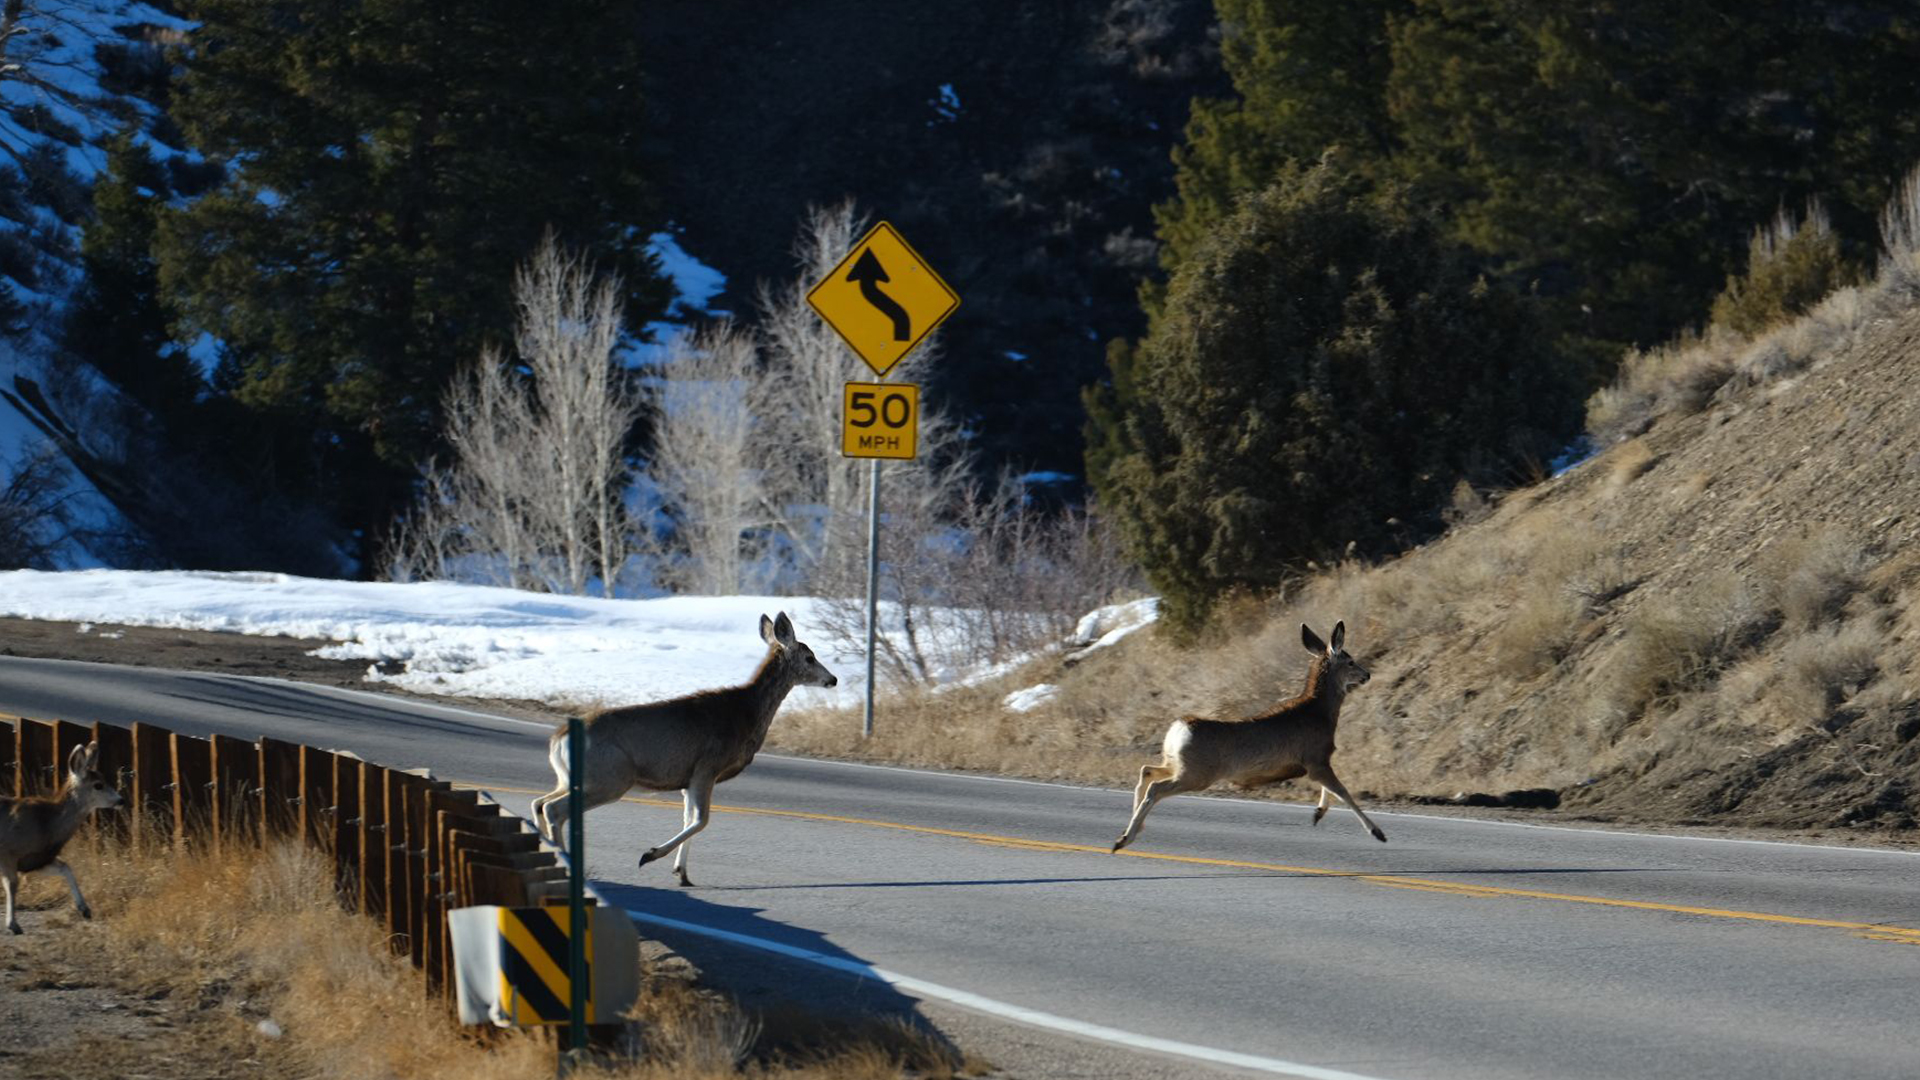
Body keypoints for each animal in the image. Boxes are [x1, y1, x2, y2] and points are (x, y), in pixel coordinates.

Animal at [2, 742, 124, 935]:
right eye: (98, 785)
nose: (121, 800)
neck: (46, 823)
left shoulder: (38, 860)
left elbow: (66, 868)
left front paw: (85, 909)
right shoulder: (9, 851)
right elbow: (11, 884)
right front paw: (13, 924)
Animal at [532, 612, 838, 887]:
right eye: (809, 657)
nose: (833, 679)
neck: (745, 714)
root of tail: (557, 739)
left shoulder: (688, 779)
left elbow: (688, 818)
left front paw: (682, 873)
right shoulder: (707, 766)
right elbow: (701, 820)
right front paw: (650, 855)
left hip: (573, 778)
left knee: (539, 802)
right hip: (610, 778)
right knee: (554, 809)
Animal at [1111, 621, 1385, 853]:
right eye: (1350, 661)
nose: (1367, 675)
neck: (1320, 712)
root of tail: (1180, 728)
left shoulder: (1315, 762)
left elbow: (1331, 790)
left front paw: (1318, 813)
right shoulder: (1316, 758)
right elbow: (1343, 791)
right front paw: (1377, 832)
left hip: (1177, 764)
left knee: (1146, 771)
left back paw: (1132, 829)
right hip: (1198, 773)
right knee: (1155, 787)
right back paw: (1123, 839)